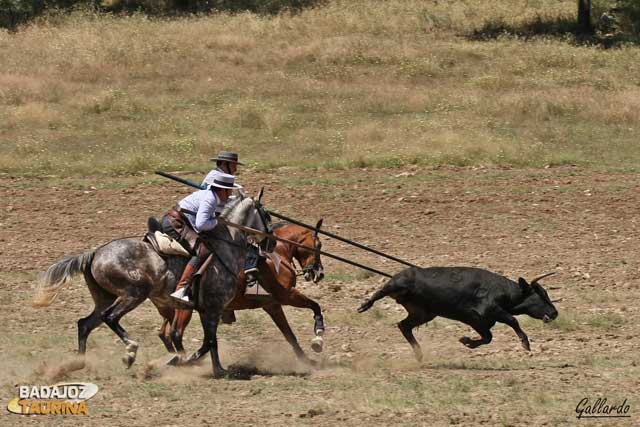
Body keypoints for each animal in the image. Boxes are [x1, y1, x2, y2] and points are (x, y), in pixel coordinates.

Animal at [39, 196, 270, 380]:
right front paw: (186, 360)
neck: (225, 247)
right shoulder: (214, 307)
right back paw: (130, 352)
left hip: (105, 298)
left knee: (84, 324)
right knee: (110, 317)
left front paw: (218, 369)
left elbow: (210, 342)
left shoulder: (207, 310)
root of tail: (95, 253)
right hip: (134, 294)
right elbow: (207, 342)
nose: (271, 244)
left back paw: (76, 364)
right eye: (266, 215)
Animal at [159, 221, 324, 364]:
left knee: (179, 334)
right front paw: (318, 336)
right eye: (318, 246)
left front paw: (306, 360)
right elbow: (315, 306)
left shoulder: (272, 305)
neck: (277, 254)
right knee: (177, 333)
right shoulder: (286, 295)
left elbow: (289, 334)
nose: (320, 273)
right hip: (186, 308)